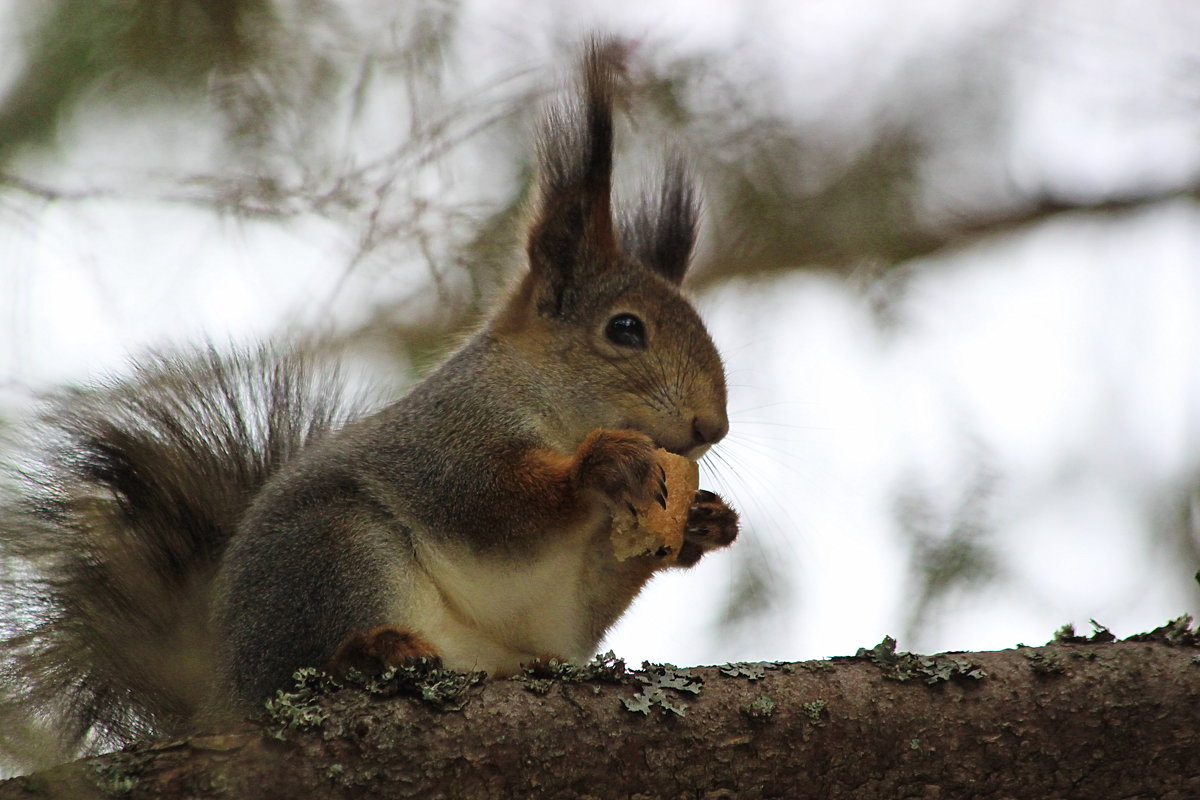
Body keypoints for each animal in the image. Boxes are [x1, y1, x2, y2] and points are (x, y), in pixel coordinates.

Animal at [0, 38, 739, 762]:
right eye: (625, 329)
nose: (713, 426)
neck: (547, 405)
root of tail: (219, 694)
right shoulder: (448, 441)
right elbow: (493, 503)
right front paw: (601, 465)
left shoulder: (562, 597)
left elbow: (577, 604)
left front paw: (704, 522)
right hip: (336, 550)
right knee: (310, 659)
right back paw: (368, 653)